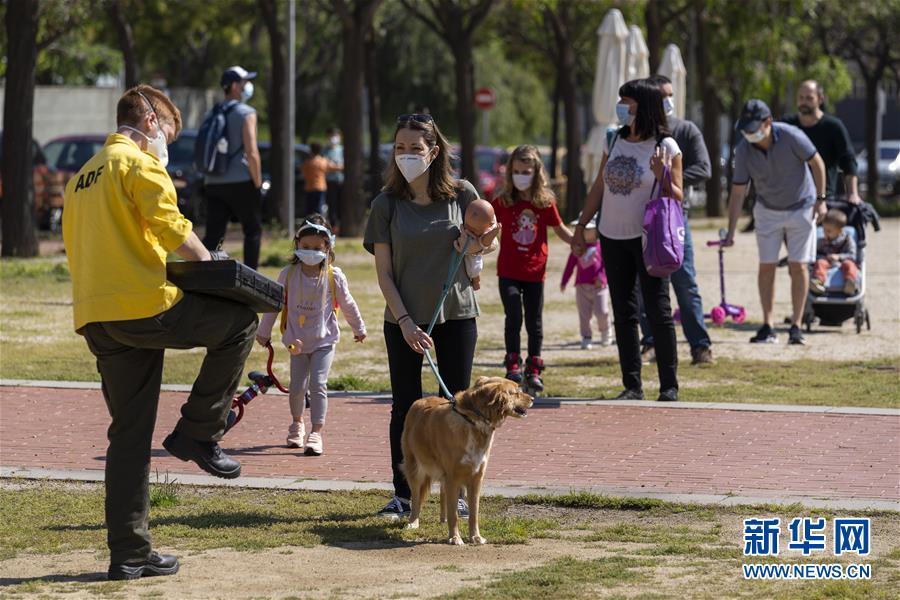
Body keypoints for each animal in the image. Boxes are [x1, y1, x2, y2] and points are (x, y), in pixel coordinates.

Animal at [400, 378, 536, 548]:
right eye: (516, 392)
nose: (533, 399)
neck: (473, 421)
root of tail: (420, 401)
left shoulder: (476, 477)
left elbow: (474, 513)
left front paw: (476, 537)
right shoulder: (452, 477)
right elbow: (454, 514)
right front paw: (455, 538)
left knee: (443, 494)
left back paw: (443, 519)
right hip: (415, 468)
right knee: (417, 498)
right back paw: (413, 522)